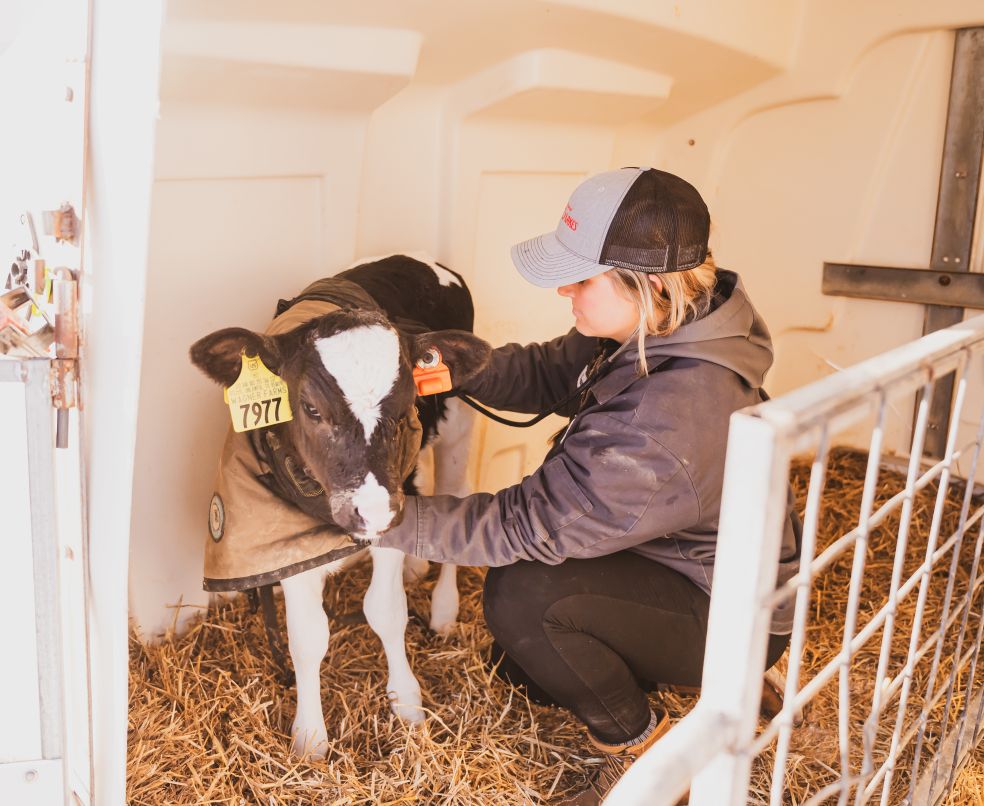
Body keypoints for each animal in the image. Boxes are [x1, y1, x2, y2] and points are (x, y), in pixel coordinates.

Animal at [189, 253, 491, 758]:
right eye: (311, 408)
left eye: (407, 405)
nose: (370, 511)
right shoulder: (284, 542)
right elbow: (307, 636)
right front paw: (309, 738)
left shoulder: (390, 511)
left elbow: (385, 610)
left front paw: (407, 704)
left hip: (460, 423)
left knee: (457, 490)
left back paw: (445, 608)